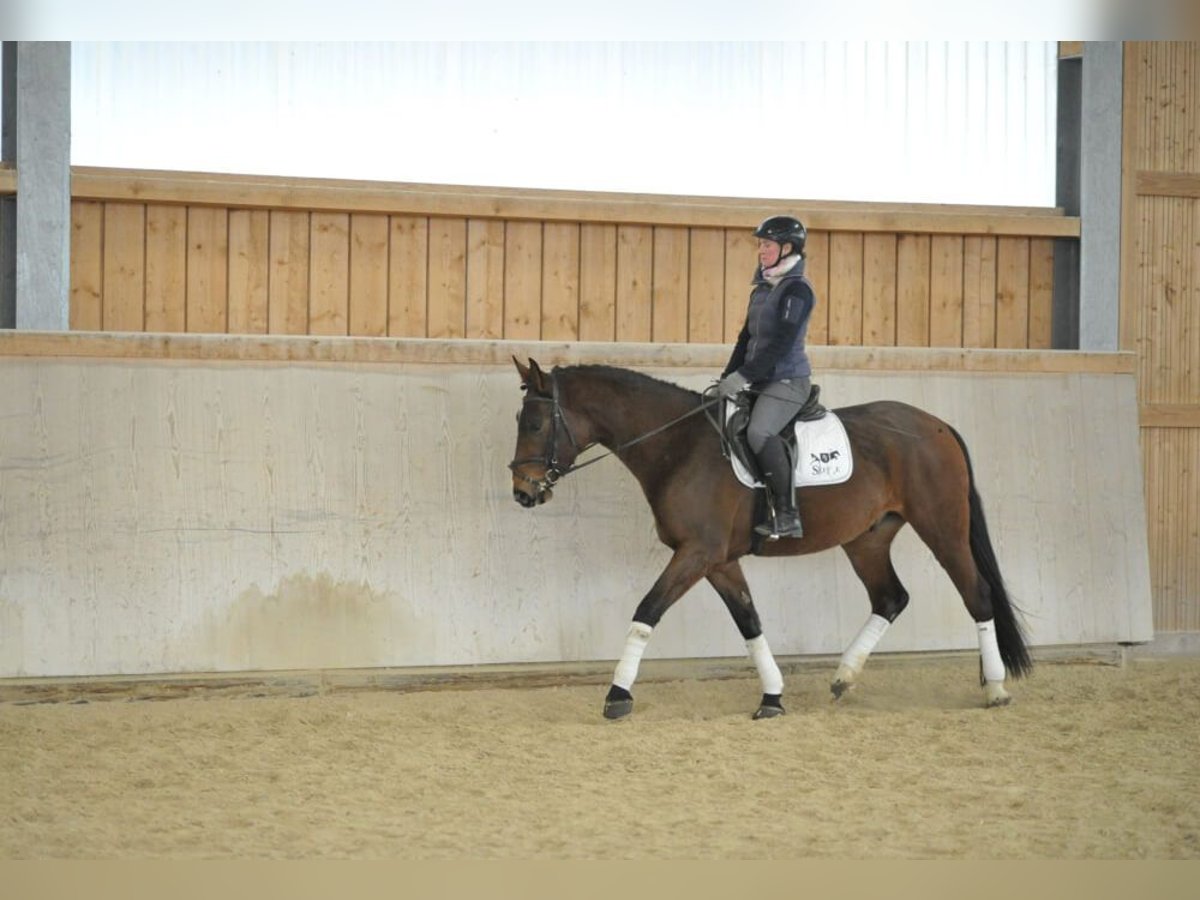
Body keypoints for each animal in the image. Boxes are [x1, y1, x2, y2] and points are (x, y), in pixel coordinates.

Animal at [508, 355, 1032, 724]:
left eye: (533, 423)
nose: (522, 492)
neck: (680, 447)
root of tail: (937, 425)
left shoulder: (696, 553)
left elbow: (646, 612)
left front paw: (618, 695)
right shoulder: (717, 560)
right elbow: (749, 622)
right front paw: (773, 697)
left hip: (942, 527)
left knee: (976, 594)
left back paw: (995, 689)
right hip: (867, 539)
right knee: (891, 597)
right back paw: (844, 678)